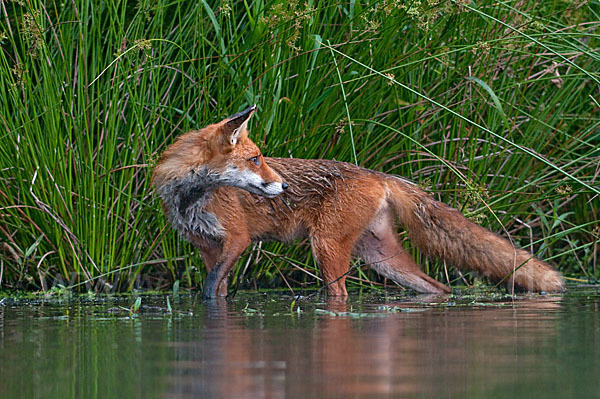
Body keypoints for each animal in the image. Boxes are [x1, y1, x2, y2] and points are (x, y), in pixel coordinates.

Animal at [152, 104, 564, 298]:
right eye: (255, 159)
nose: (282, 187)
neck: (190, 198)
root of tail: (379, 175)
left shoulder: (237, 239)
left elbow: (209, 288)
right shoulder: (206, 246)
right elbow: (216, 289)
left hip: (327, 247)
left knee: (341, 296)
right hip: (381, 258)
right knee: (437, 287)